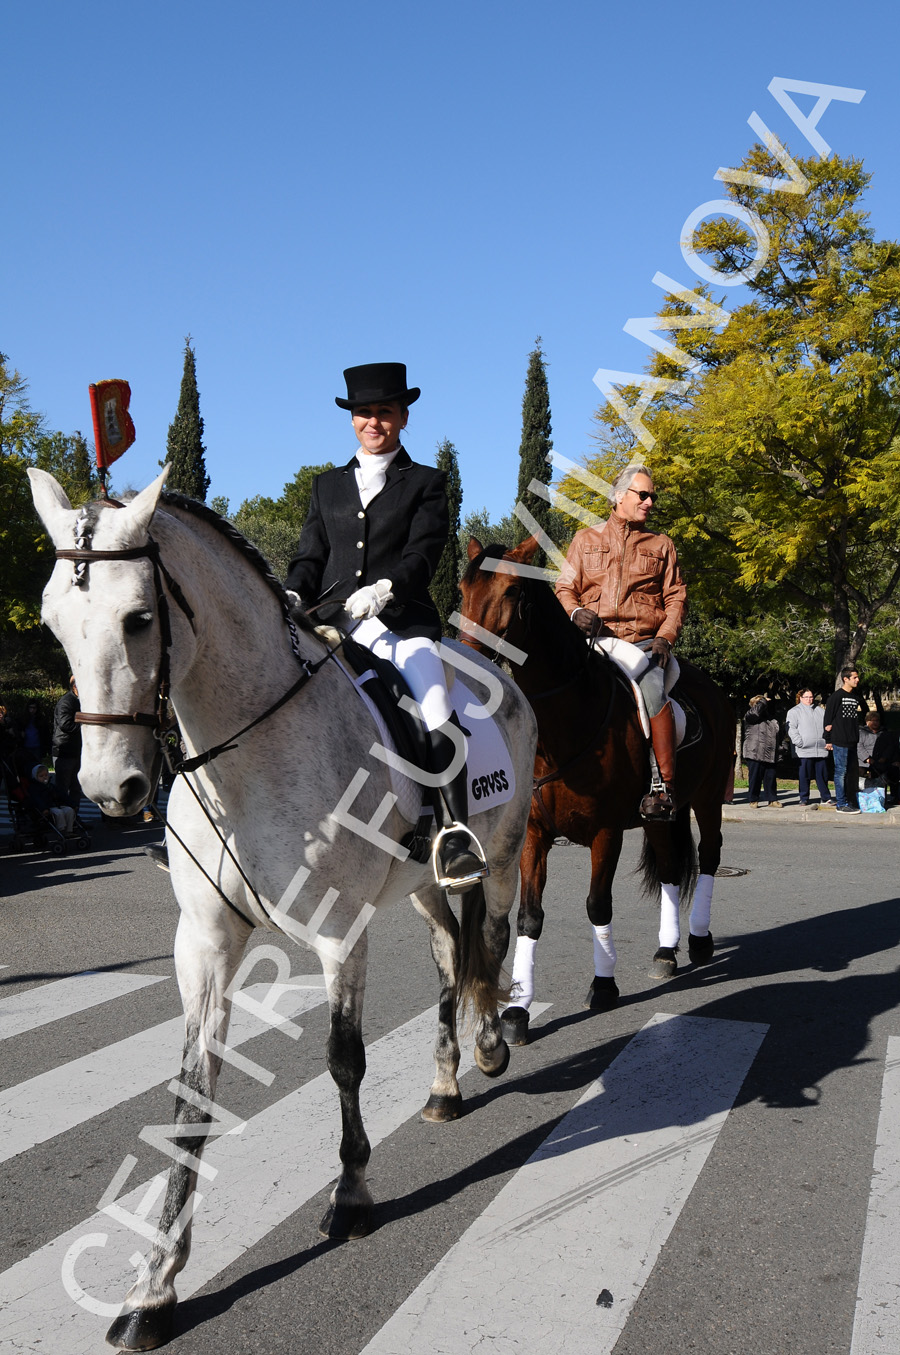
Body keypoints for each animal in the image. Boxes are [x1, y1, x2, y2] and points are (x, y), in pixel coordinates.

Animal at [28, 468, 534, 1355]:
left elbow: (345, 1060)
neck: (245, 750)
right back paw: (444, 1081)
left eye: (139, 617)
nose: (109, 790)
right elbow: (192, 1090)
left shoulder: (340, 934)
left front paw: (353, 1195)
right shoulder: (204, 944)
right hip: (425, 884)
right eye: (55, 623)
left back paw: (489, 1044)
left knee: (494, 939)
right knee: (449, 956)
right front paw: (154, 1285)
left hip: (501, 858)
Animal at [460, 533, 737, 1040]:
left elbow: (597, 905)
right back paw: (666, 952)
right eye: (464, 588)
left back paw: (699, 939)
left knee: (709, 858)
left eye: (512, 590)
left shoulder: (605, 833)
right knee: (671, 870)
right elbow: (529, 917)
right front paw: (517, 1010)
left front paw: (604, 985)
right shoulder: (534, 835)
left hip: (708, 799)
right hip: (658, 818)